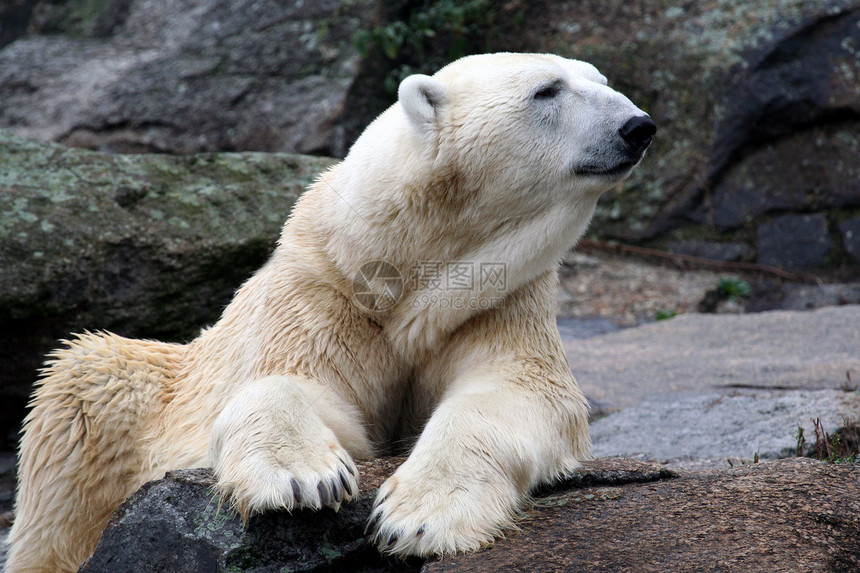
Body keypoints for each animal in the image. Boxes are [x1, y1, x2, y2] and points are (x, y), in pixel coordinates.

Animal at [6, 52, 656, 568]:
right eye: (547, 90)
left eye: (601, 80)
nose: (638, 126)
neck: (402, 269)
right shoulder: (322, 292)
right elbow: (295, 384)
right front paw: (304, 480)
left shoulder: (499, 299)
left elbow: (516, 393)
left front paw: (416, 517)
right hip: (127, 397)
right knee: (78, 409)